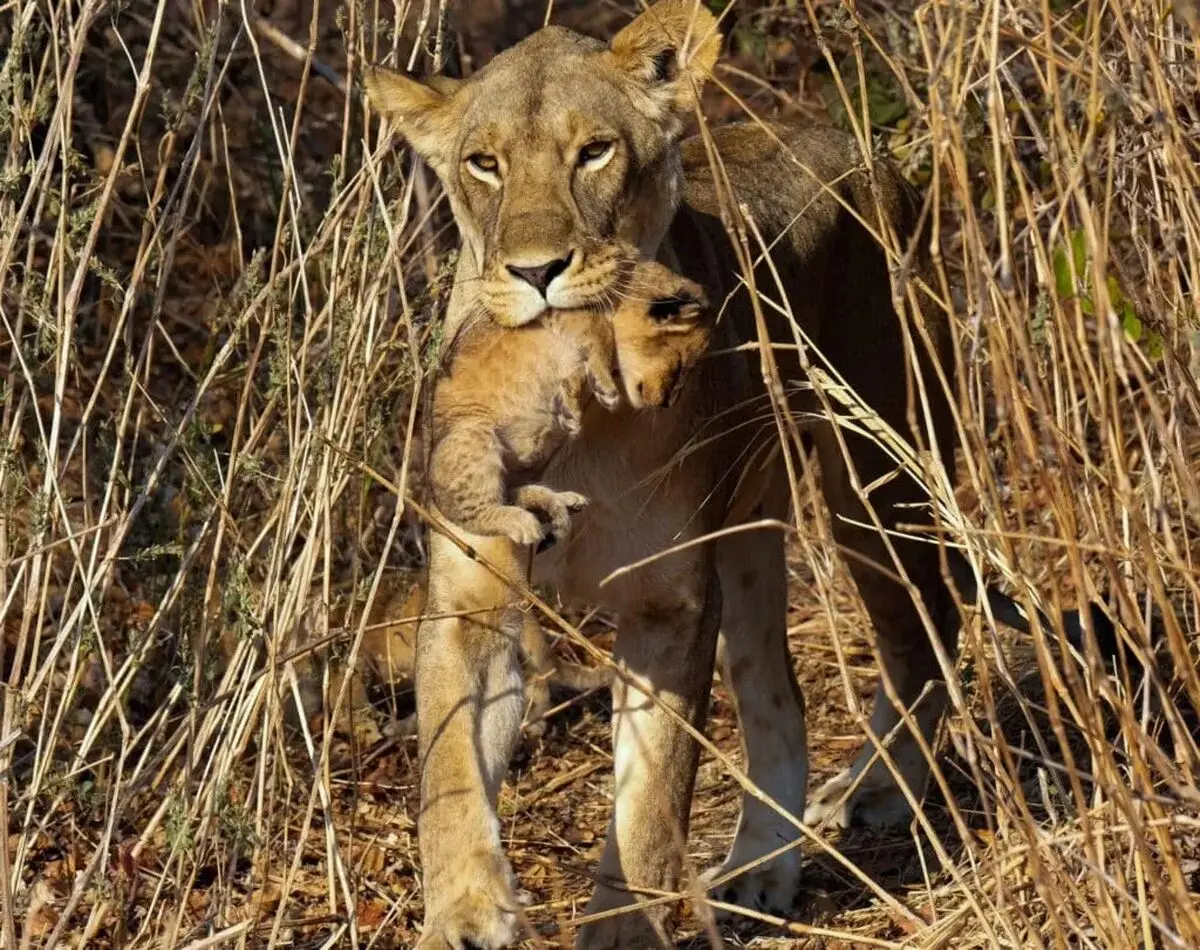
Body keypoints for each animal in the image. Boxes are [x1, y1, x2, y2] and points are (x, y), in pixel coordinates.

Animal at [363, 2, 1118, 947]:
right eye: (484, 163)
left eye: (594, 152)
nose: (536, 272)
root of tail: (863, 149)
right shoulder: (471, 595)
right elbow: (449, 772)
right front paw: (465, 910)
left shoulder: (669, 606)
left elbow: (650, 805)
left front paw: (622, 931)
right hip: (751, 540)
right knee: (777, 697)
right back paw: (761, 867)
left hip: (875, 477)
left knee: (928, 628)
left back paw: (877, 789)